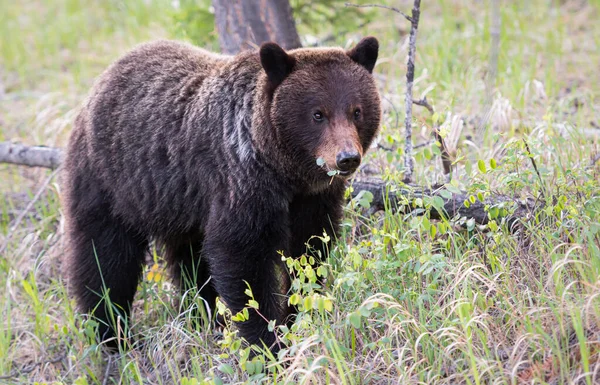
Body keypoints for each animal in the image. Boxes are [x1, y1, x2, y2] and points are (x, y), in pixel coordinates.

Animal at [61, 36, 380, 352]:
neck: (284, 171)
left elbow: (309, 251)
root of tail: (101, 81)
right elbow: (242, 259)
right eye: (317, 114)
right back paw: (110, 332)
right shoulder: (241, 181)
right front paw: (266, 341)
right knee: (106, 257)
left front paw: (297, 316)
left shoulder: (313, 200)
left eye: (357, 111)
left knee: (190, 259)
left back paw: (203, 316)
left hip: (178, 203)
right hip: (111, 182)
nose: (346, 158)